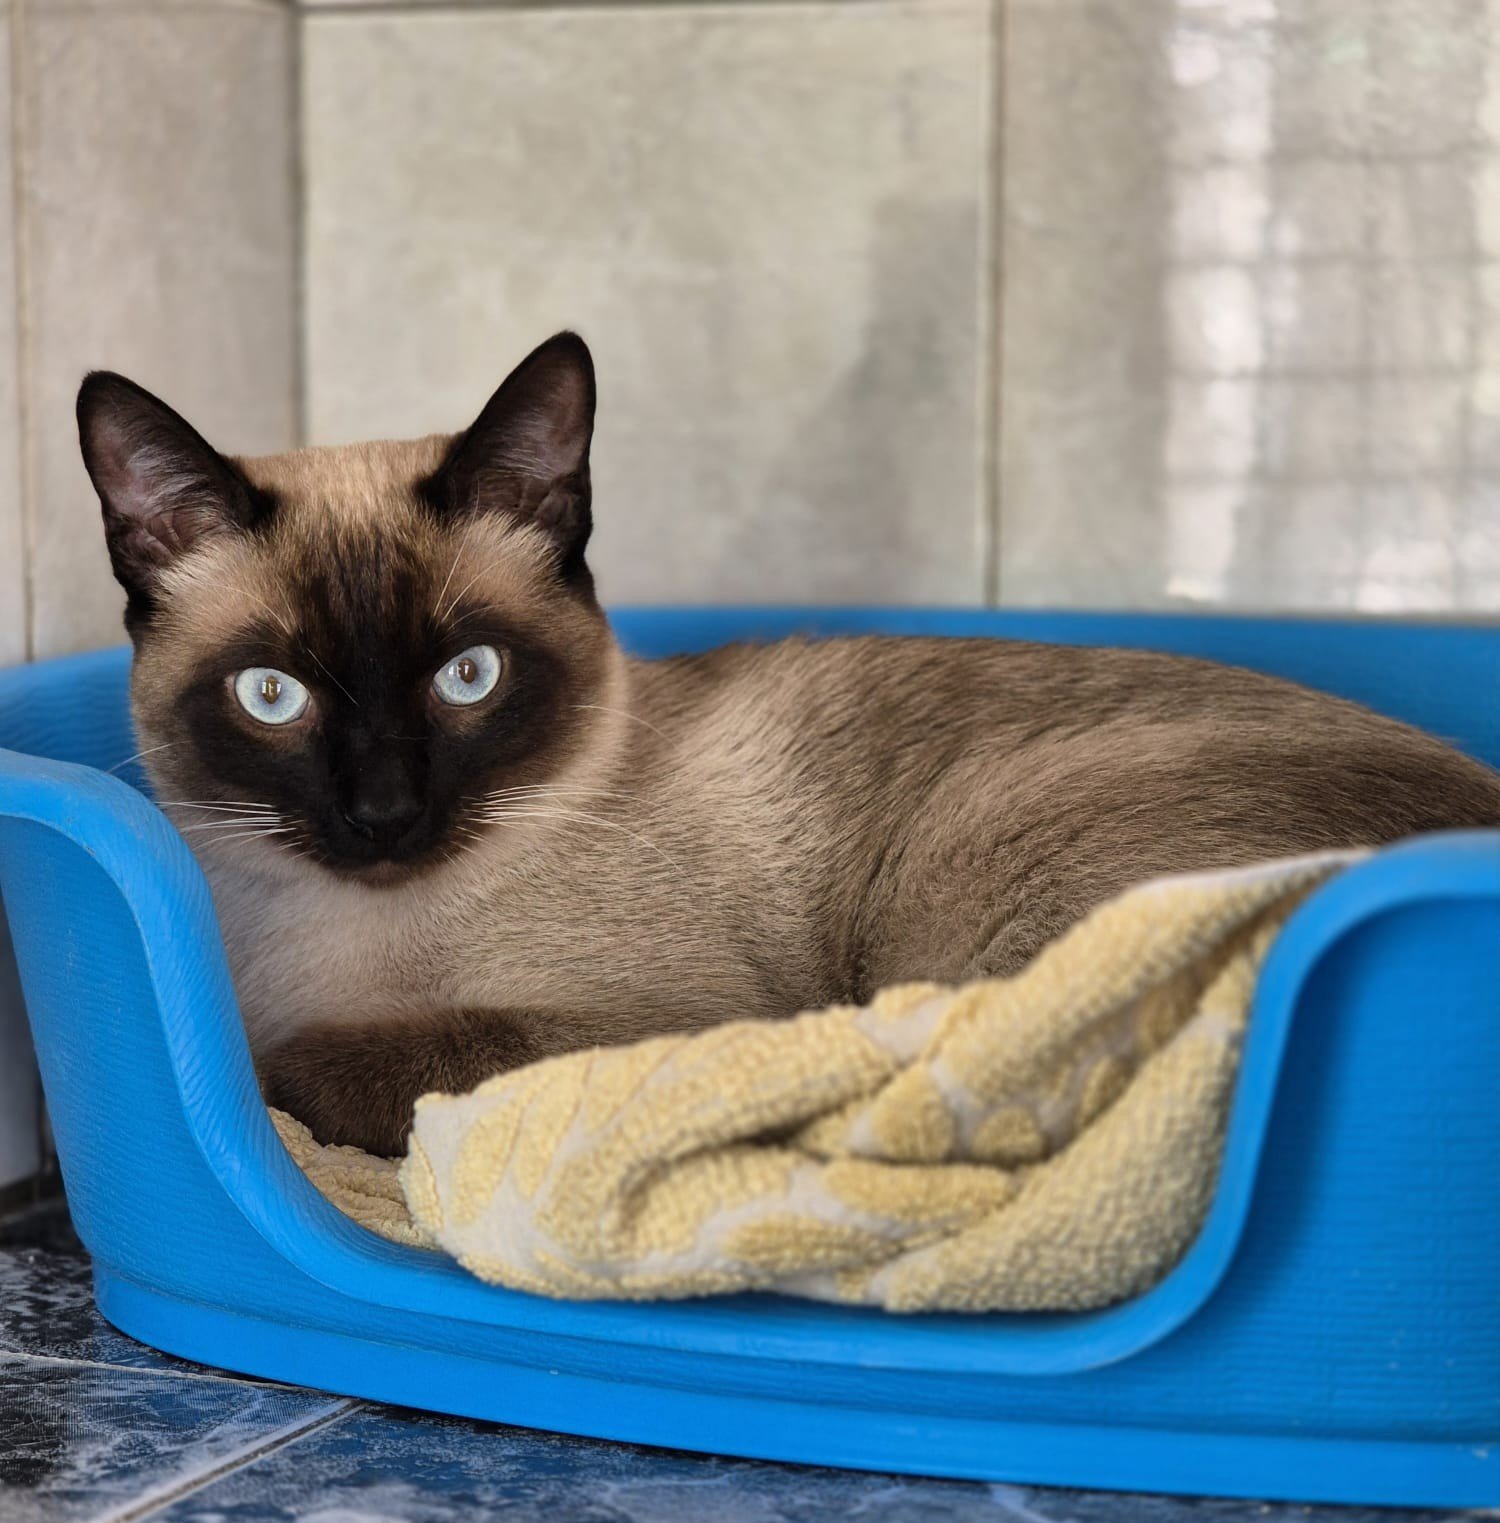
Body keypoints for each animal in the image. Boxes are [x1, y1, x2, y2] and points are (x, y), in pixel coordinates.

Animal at [78, 332, 1500, 1156]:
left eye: (466, 676)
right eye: (273, 696)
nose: (382, 812)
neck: (329, 938)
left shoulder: (658, 1023)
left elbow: (333, 1066)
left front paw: (273, 1075)